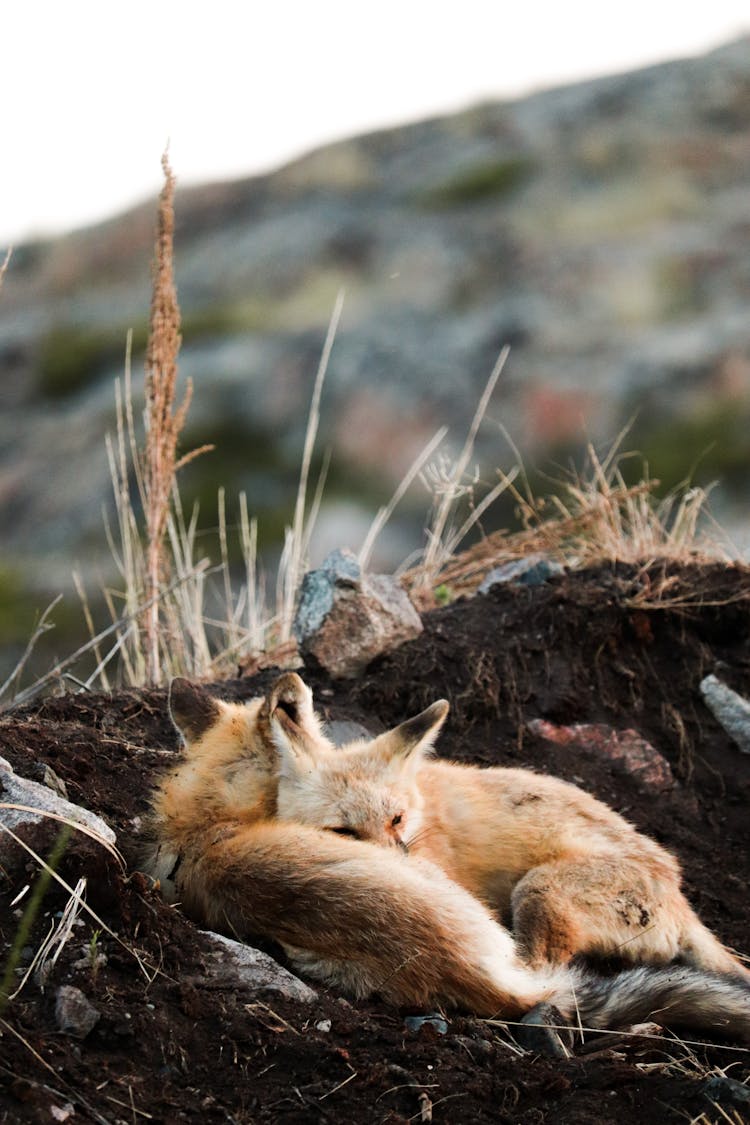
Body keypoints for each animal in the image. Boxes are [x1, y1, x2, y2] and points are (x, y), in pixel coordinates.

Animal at [273, 684, 750, 985]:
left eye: (396, 819)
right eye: (343, 831)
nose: (399, 870)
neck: (425, 818)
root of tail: (678, 891)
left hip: (538, 890)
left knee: (534, 969)